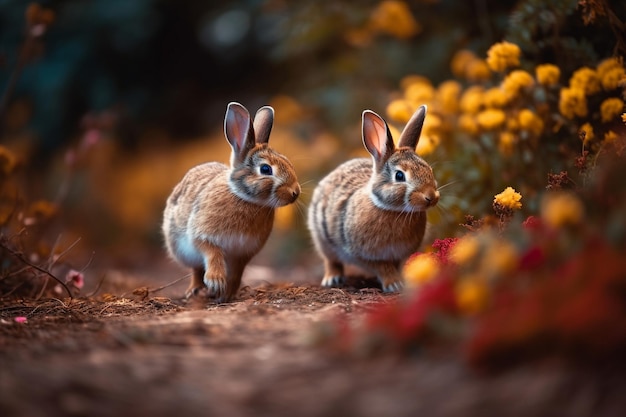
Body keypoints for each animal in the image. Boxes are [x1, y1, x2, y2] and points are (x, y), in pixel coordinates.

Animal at [160, 102, 298, 300]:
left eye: (287, 162)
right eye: (265, 169)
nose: (295, 192)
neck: (245, 198)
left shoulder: (242, 254)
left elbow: (236, 273)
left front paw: (228, 294)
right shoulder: (204, 236)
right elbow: (212, 253)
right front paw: (216, 282)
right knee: (196, 269)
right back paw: (195, 290)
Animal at [308, 105, 438, 290]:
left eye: (429, 170)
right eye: (399, 176)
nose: (431, 197)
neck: (393, 209)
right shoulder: (364, 254)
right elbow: (383, 267)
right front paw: (394, 284)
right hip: (322, 239)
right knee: (331, 261)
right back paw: (332, 279)